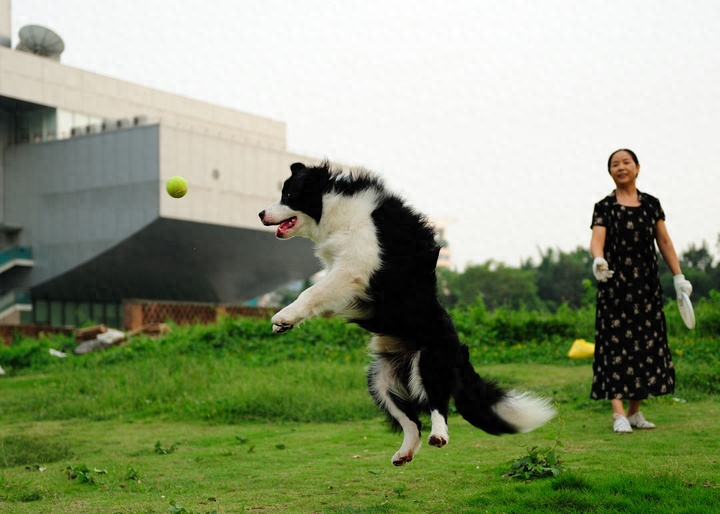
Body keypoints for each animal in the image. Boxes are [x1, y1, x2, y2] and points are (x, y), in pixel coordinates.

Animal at [258, 159, 556, 464]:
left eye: (288, 195)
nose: (260, 214)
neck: (332, 205)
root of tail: (459, 350)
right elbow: (319, 294)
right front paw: (284, 324)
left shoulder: (355, 267)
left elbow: (312, 291)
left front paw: (282, 317)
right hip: (379, 380)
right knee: (410, 421)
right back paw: (404, 453)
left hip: (431, 360)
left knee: (438, 403)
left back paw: (439, 436)